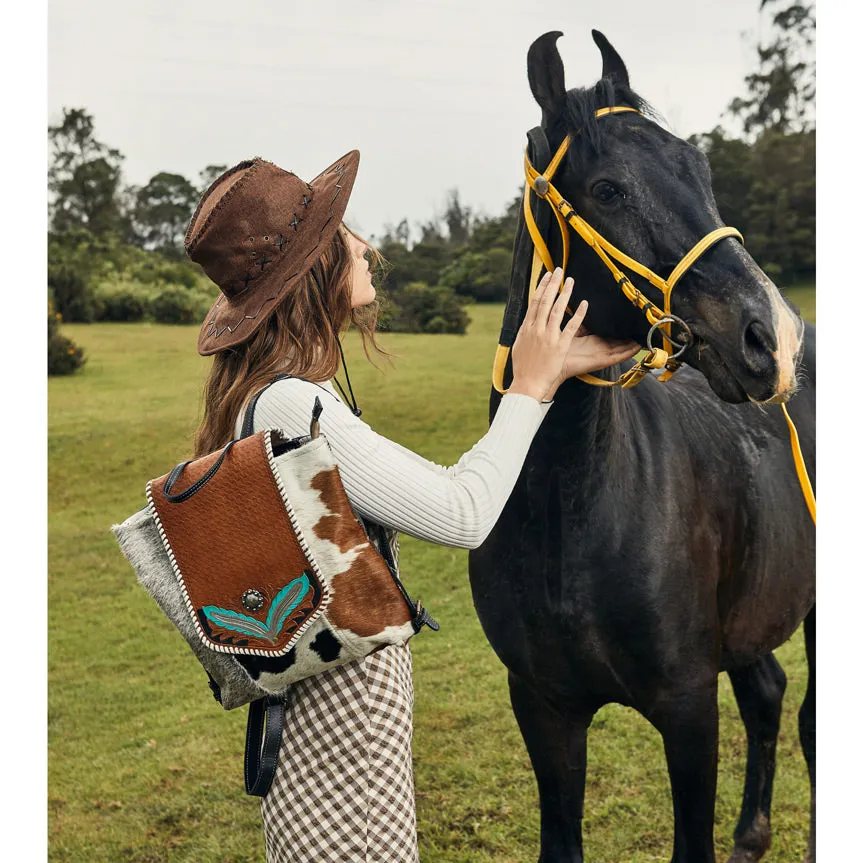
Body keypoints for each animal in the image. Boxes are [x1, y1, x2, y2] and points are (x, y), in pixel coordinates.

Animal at [470, 30, 812, 860]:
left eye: (701, 170)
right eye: (608, 190)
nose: (771, 338)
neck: (567, 508)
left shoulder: (686, 707)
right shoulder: (544, 708)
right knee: (767, 694)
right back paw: (751, 833)